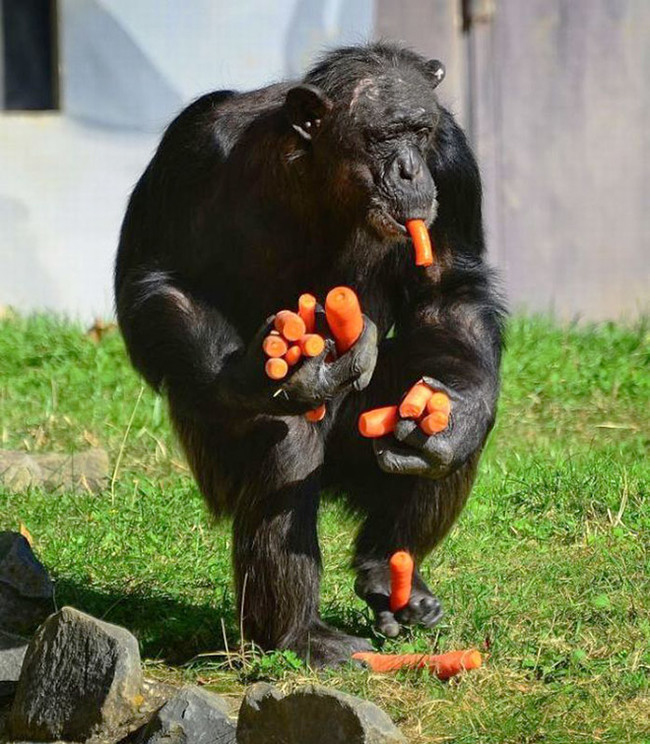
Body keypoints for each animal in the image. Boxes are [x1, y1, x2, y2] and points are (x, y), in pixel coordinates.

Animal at [114, 42, 504, 668]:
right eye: (383, 135)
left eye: (420, 131)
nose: (410, 169)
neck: (323, 179)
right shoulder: (193, 145)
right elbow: (157, 275)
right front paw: (257, 371)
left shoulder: (454, 162)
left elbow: (449, 290)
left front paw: (459, 414)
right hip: (215, 463)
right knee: (289, 446)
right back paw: (300, 634)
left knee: (431, 410)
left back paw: (390, 568)